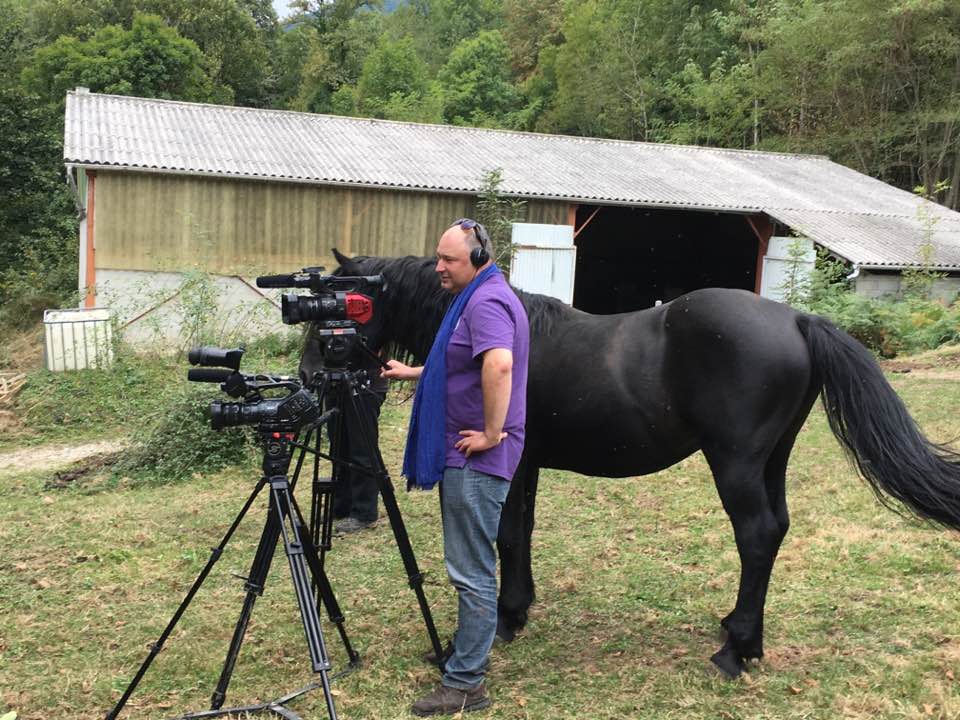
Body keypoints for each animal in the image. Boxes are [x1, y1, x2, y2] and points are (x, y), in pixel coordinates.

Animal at [298, 249, 960, 678]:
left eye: (348, 304)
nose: (306, 375)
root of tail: (798, 318)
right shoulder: (529, 466)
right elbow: (523, 534)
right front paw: (521, 607)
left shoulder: (511, 461)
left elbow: (507, 536)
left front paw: (507, 619)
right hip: (773, 460)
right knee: (776, 532)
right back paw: (740, 632)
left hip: (736, 464)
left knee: (756, 534)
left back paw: (735, 652)